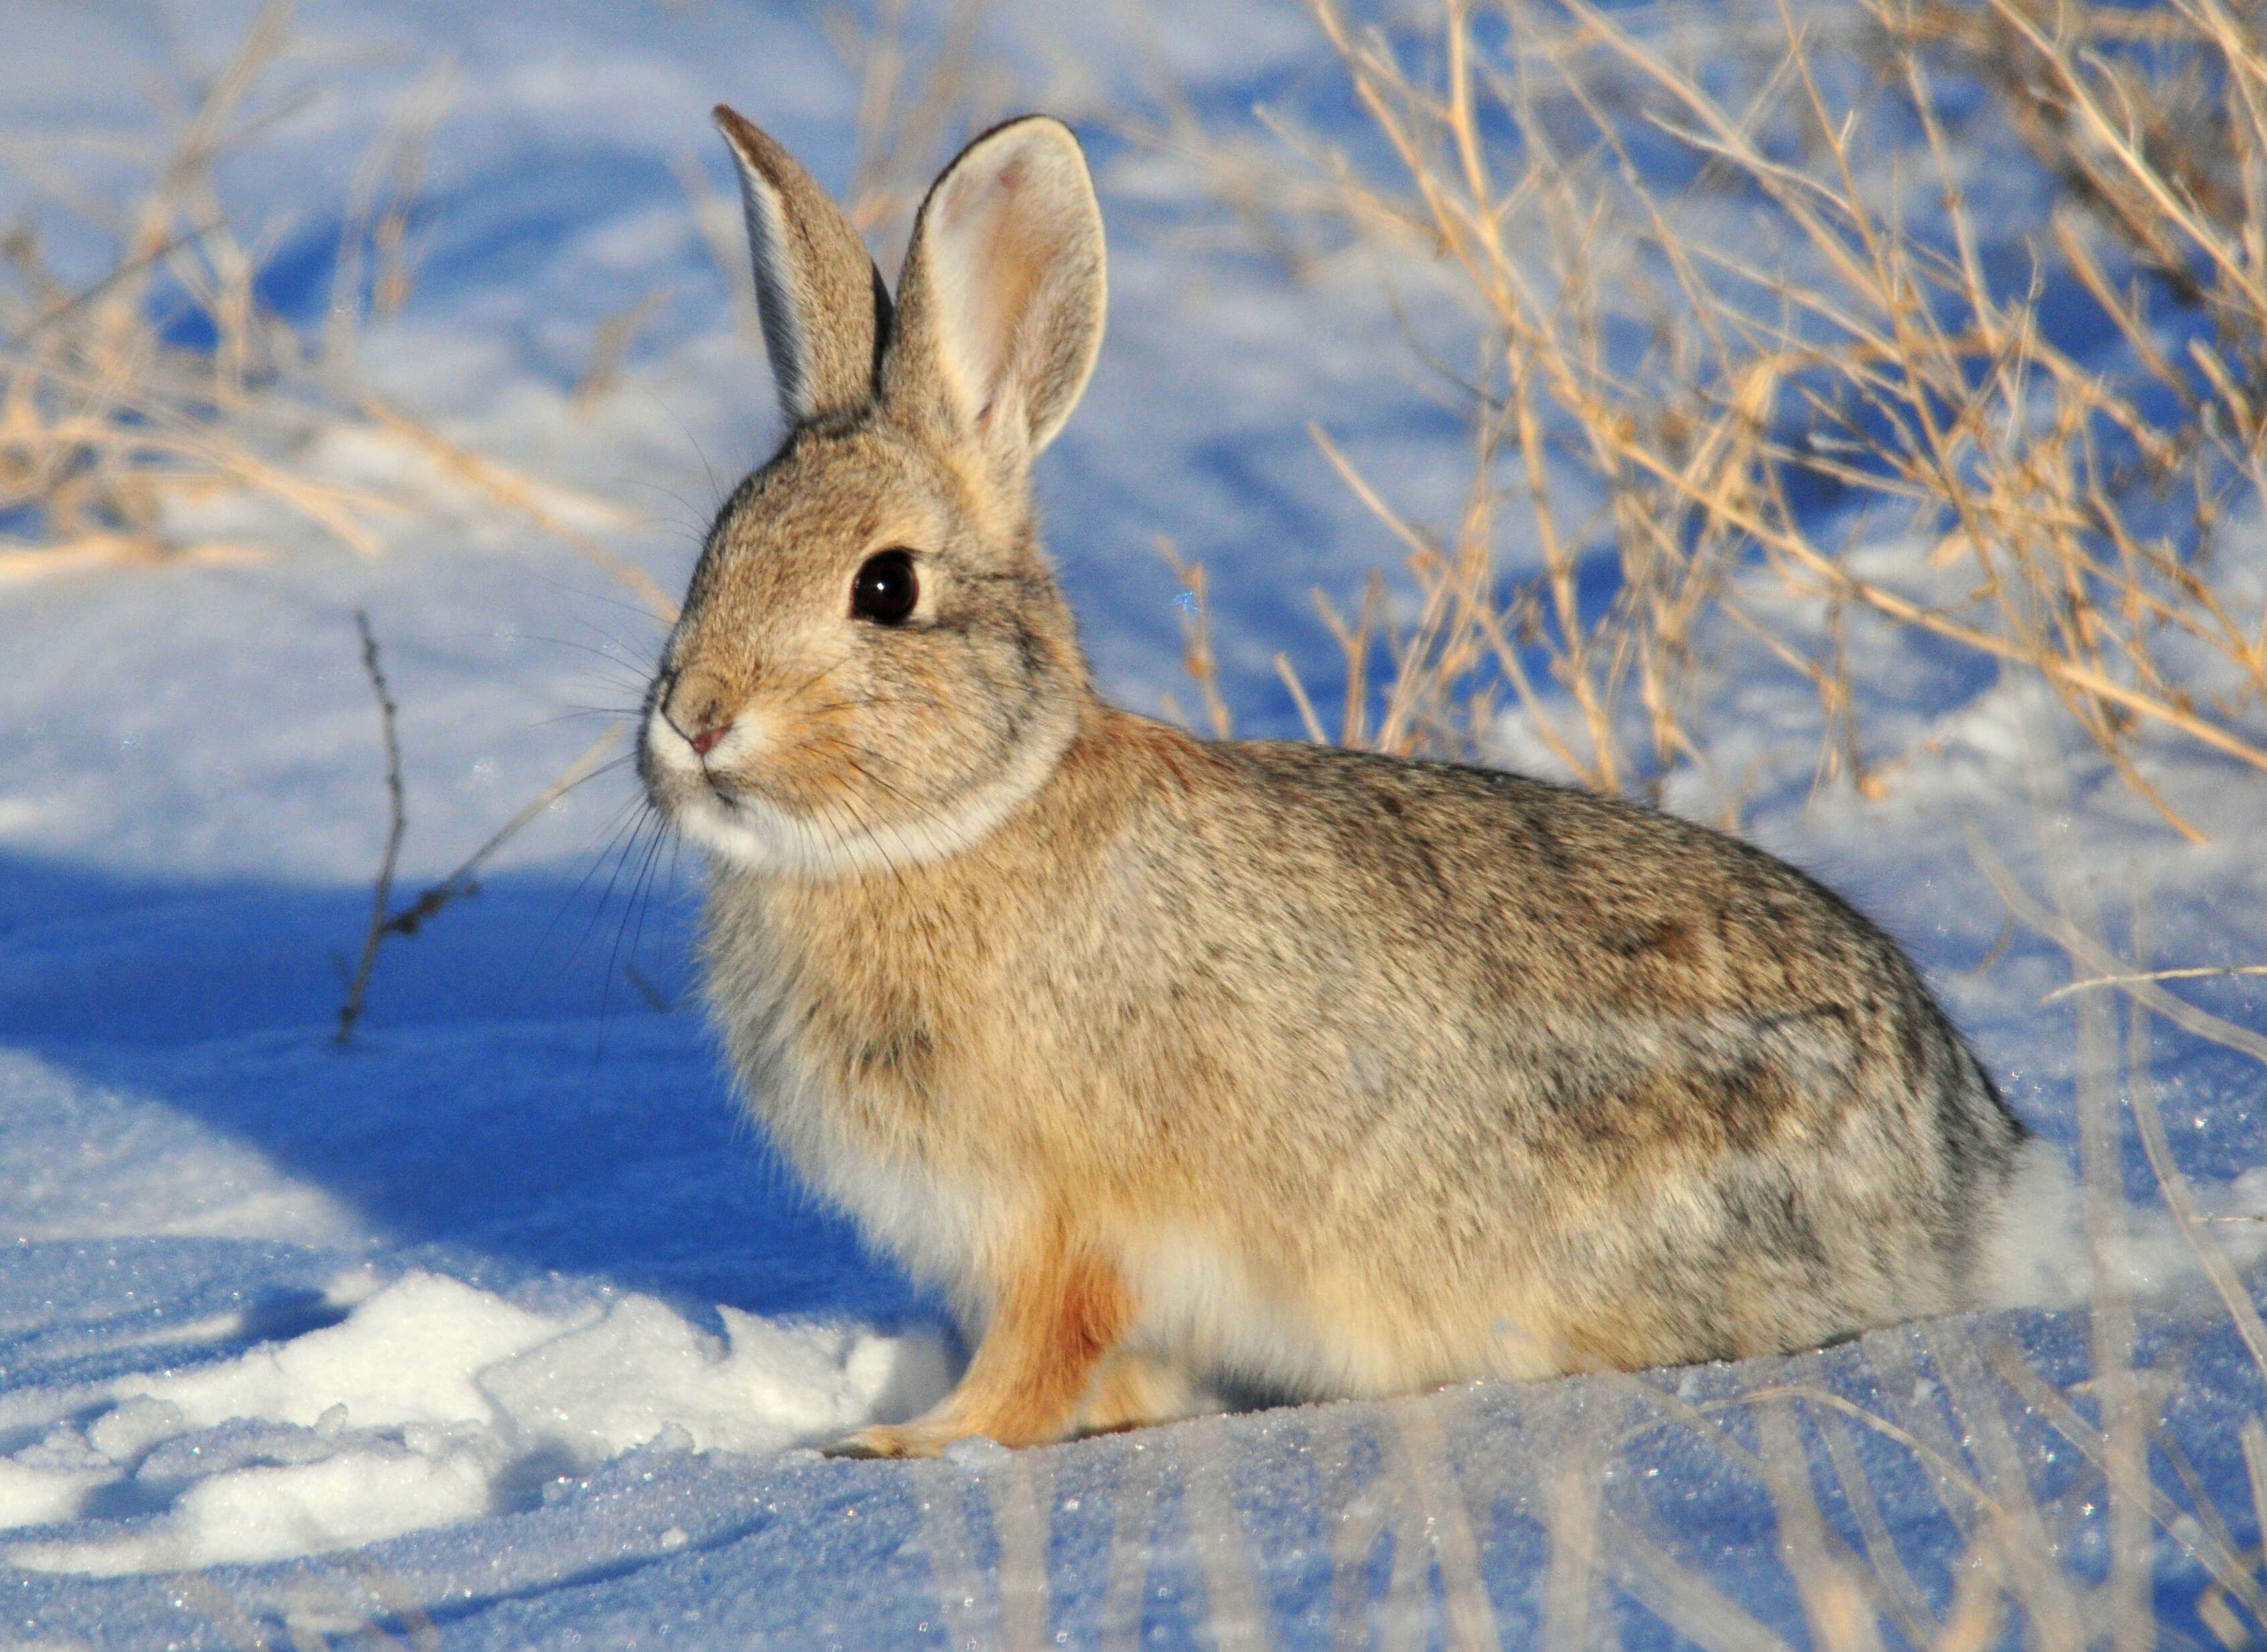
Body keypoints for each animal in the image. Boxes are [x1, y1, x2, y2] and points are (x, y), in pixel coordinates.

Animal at [634, 102, 2022, 1450]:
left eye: (885, 588)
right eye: (715, 549)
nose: (693, 720)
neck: (957, 822)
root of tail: (1975, 1175)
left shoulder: (1059, 1219)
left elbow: (1037, 1357)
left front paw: (905, 1445)